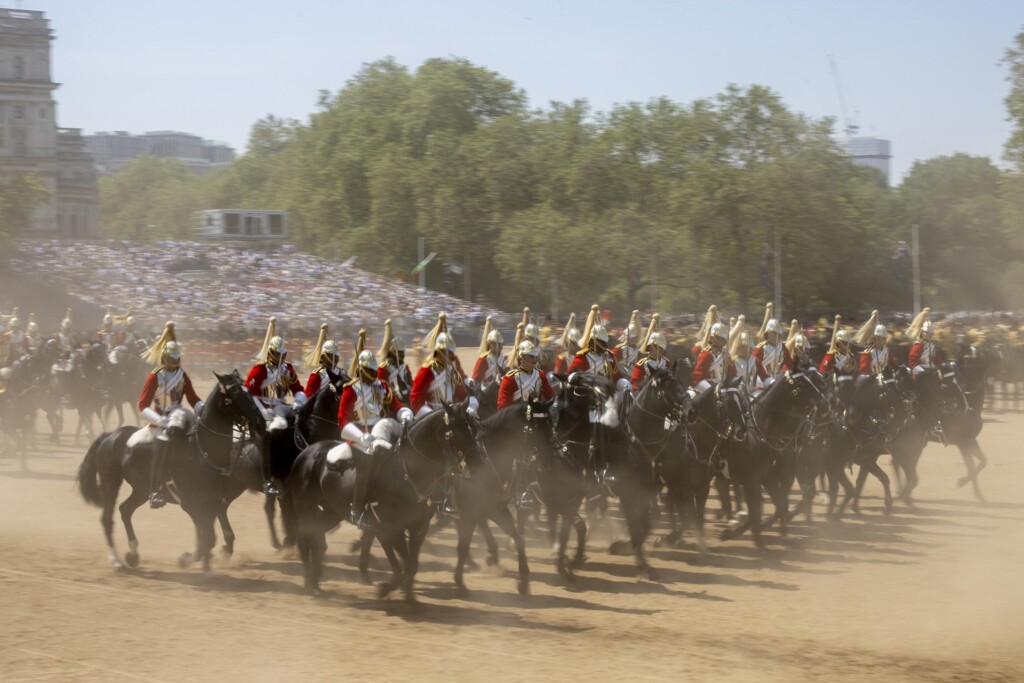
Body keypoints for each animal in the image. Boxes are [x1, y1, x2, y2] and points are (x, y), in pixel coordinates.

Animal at [77, 370, 266, 573]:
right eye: (236, 395)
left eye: (250, 393)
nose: (261, 424)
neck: (202, 451)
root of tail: (110, 435)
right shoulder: (191, 504)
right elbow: (207, 538)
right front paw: (187, 559)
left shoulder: (212, 502)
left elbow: (208, 536)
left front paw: (205, 564)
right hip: (111, 483)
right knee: (107, 518)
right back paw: (117, 561)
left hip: (141, 490)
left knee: (125, 509)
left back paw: (133, 554)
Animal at [288, 401, 479, 602]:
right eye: (457, 432)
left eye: (473, 429)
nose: (478, 464)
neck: (409, 472)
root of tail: (306, 452)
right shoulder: (388, 527)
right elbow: (404, 565)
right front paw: (387, 589)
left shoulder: (418, 526)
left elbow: (411, 565)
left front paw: (410, 599)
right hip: (305, 509)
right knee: (305, 540)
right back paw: (310, 584)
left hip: (332, 512)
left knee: (316, 534)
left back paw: (315, 581)